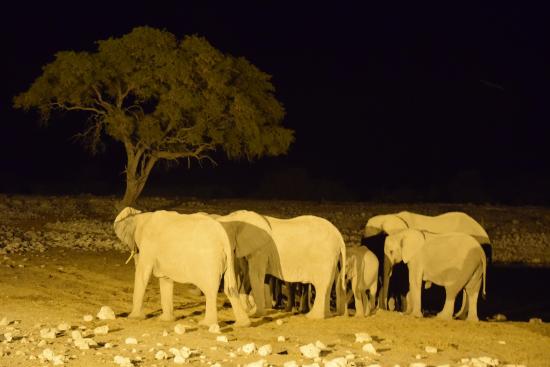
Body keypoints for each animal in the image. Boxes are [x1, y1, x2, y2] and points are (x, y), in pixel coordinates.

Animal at [114, 207, 252, 328]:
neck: (142, 217)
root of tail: (224, 238)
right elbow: (165, 280)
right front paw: (165, 320)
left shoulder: (149, 244)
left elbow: (143, 274)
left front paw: (133, 318)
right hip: (229, 258)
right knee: (230, 288)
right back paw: (243, 324)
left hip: (209, 259)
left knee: (210, 290)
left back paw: (206, 324)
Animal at [215, 211, 348, 320]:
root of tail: (339, 237)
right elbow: (249, 275)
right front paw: (248, 311)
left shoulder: (260, 250)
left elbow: (255, 275)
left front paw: (255, 314)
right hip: (331, 257)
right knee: (330, 284)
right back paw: (327, 315)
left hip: (324, 257)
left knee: (321, 285)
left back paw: (312, 317)